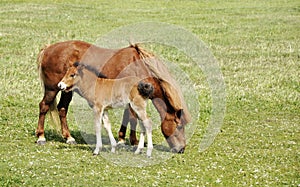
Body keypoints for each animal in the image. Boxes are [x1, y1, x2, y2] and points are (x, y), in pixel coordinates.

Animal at [36, 40, 191, 153]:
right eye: (179, 126)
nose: (181, 149)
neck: (139, 66)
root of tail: (48, 48)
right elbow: (132, 119)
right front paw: (132, 142)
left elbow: (127, 117)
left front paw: (122, 140)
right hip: (53, 89)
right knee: (44, 106)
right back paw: (41, 137)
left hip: (67, 90)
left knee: (62, 108)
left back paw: (68, 137)